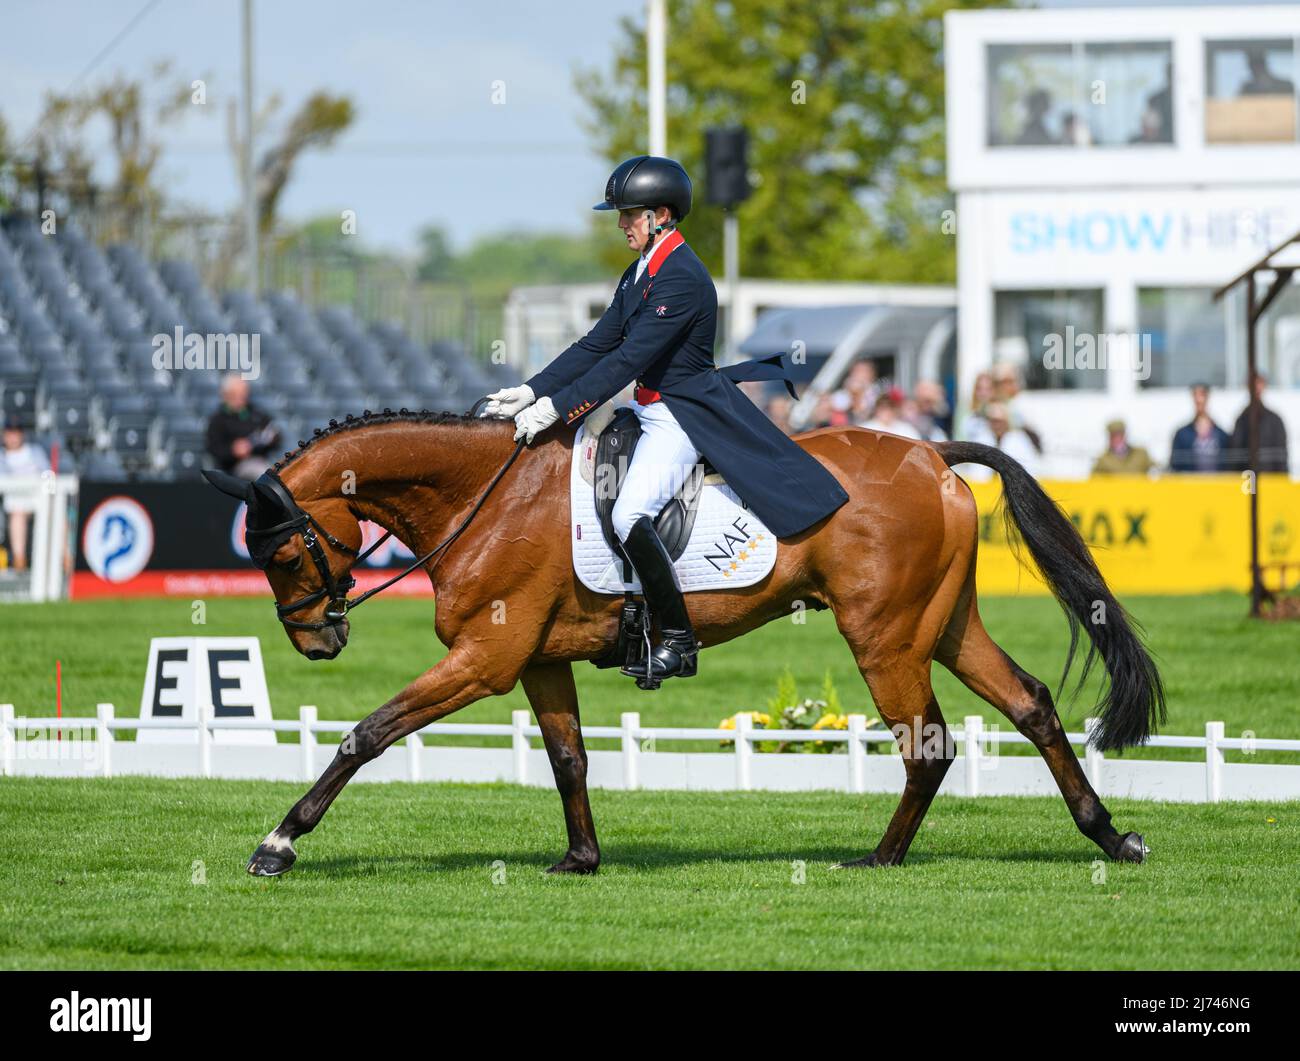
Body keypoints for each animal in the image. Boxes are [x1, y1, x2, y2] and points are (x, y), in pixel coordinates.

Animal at [205, 410, 1170, 873]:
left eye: (282, 552)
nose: (317, 641)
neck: (484, 496)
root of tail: (932, 454)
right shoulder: (538, 661)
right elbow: (569, 759)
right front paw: (581, 858)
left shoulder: (484, 662)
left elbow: (366, 733)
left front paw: (278, 844)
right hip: (945, 625)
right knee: (1030, 704)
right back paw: (1109, 835)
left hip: (884, 637)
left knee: (926, 743)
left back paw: (882, 856)